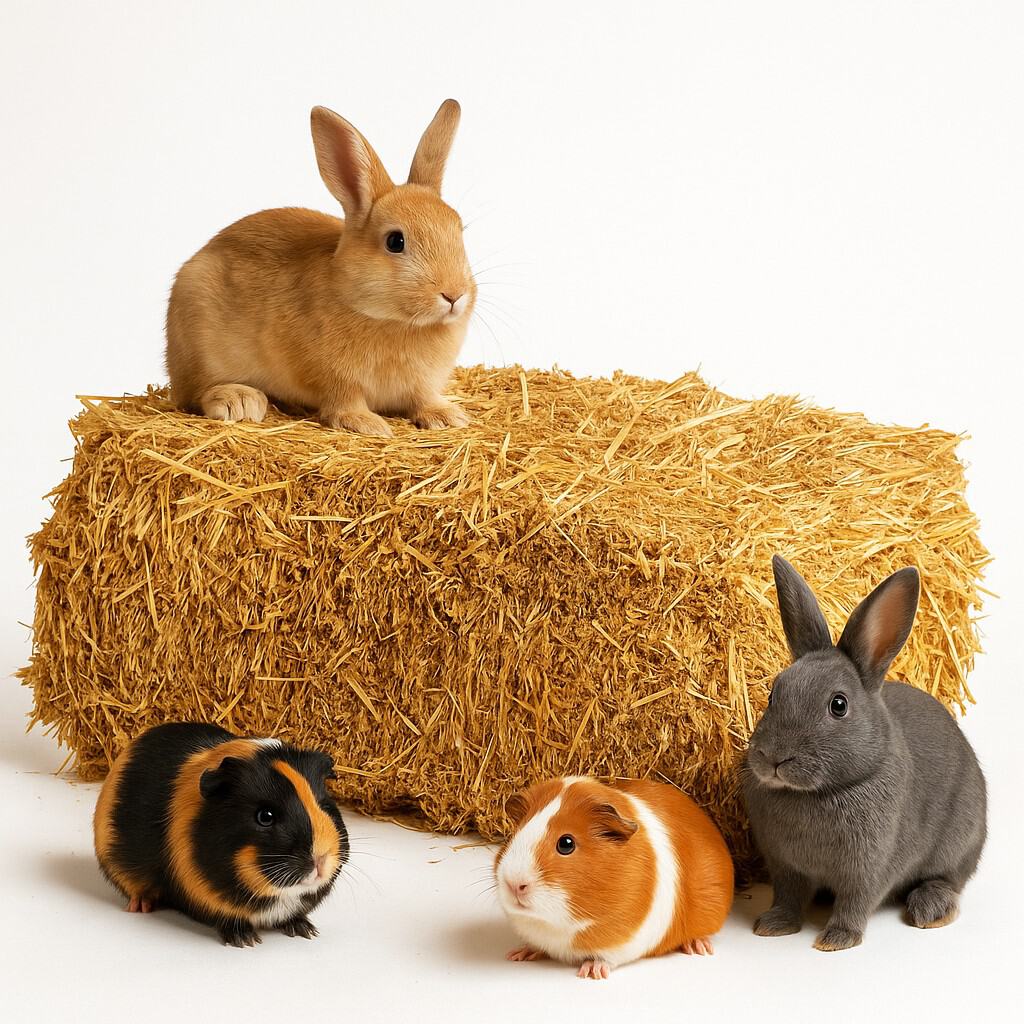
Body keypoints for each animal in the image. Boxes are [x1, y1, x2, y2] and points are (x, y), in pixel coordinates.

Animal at [165, 100, 475, 436]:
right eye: (395, 241)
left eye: (459, 230)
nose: (454, 295)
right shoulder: (335, 378)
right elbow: (345, 401)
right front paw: (367, 425)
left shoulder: (422, 384)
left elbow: (423, 398)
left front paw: (448, 417)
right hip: (199, 343)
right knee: (197, 392)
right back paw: (240, 401)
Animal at [742, 555, 986, 952]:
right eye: (773, 694)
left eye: (838, 705)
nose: (774, 758)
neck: (819, 793)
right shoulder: (785, 866)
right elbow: (789, 897)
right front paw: (773, 925)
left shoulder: (870, 867)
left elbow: (856, 902)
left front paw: (836, 940)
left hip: (959, 841)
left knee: (948, 878)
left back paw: (930, 910)